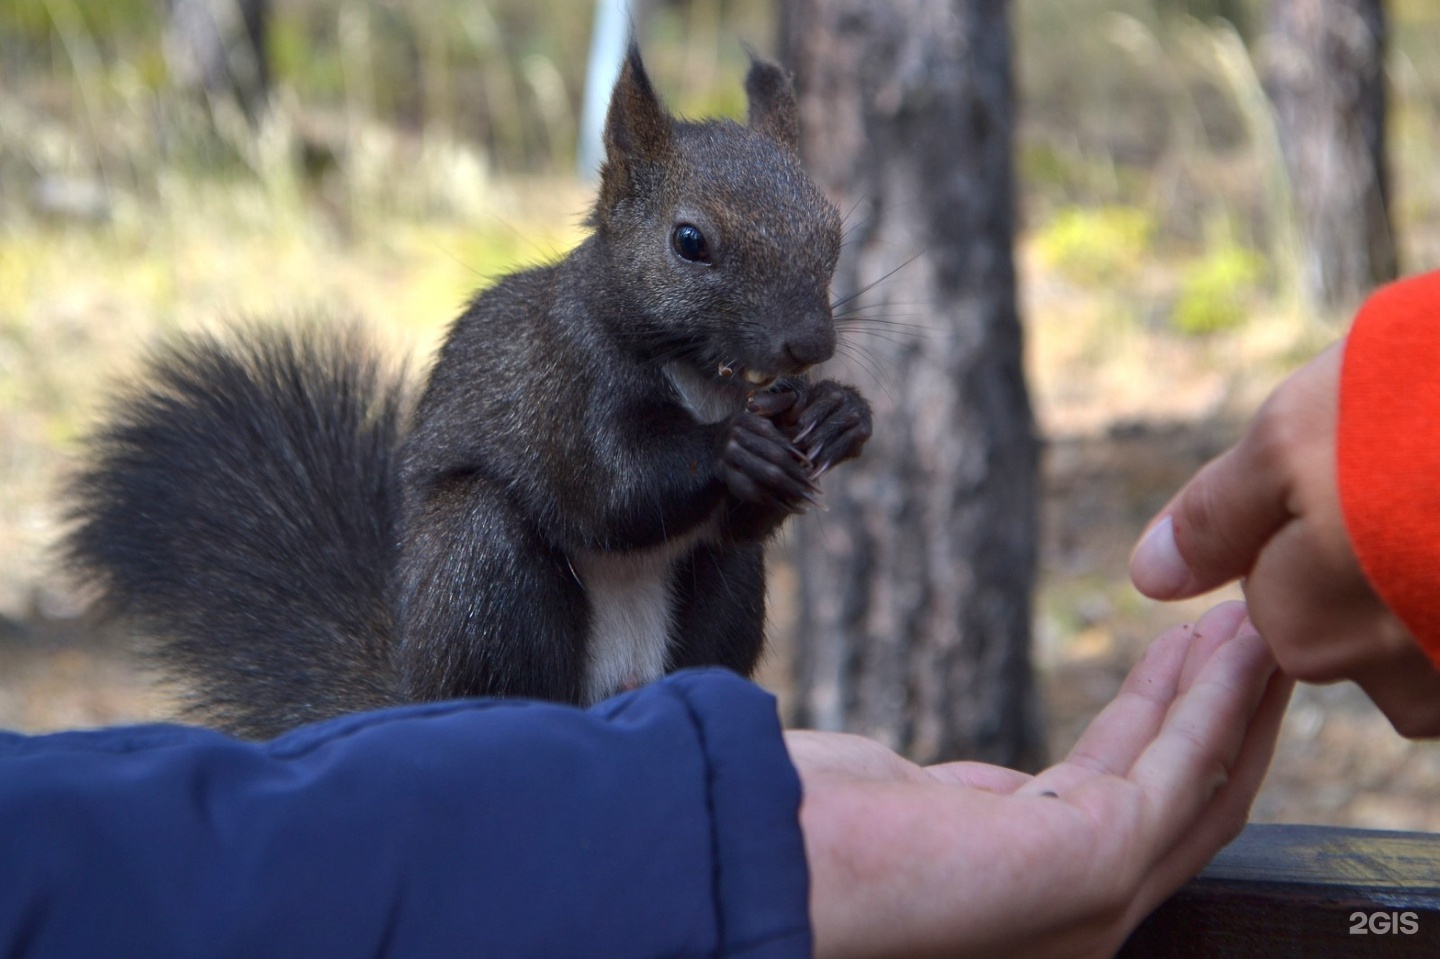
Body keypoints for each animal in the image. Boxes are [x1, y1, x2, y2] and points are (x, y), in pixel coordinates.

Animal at [61, 44, 869, 734]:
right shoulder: (555, 382)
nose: (810, 344)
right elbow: (609, 489)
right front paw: (736, 445)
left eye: (833, 228)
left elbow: (736, 517)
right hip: (476, 564)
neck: (699, 374)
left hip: (726, 594)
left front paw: (839, 415)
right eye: (689, 240)